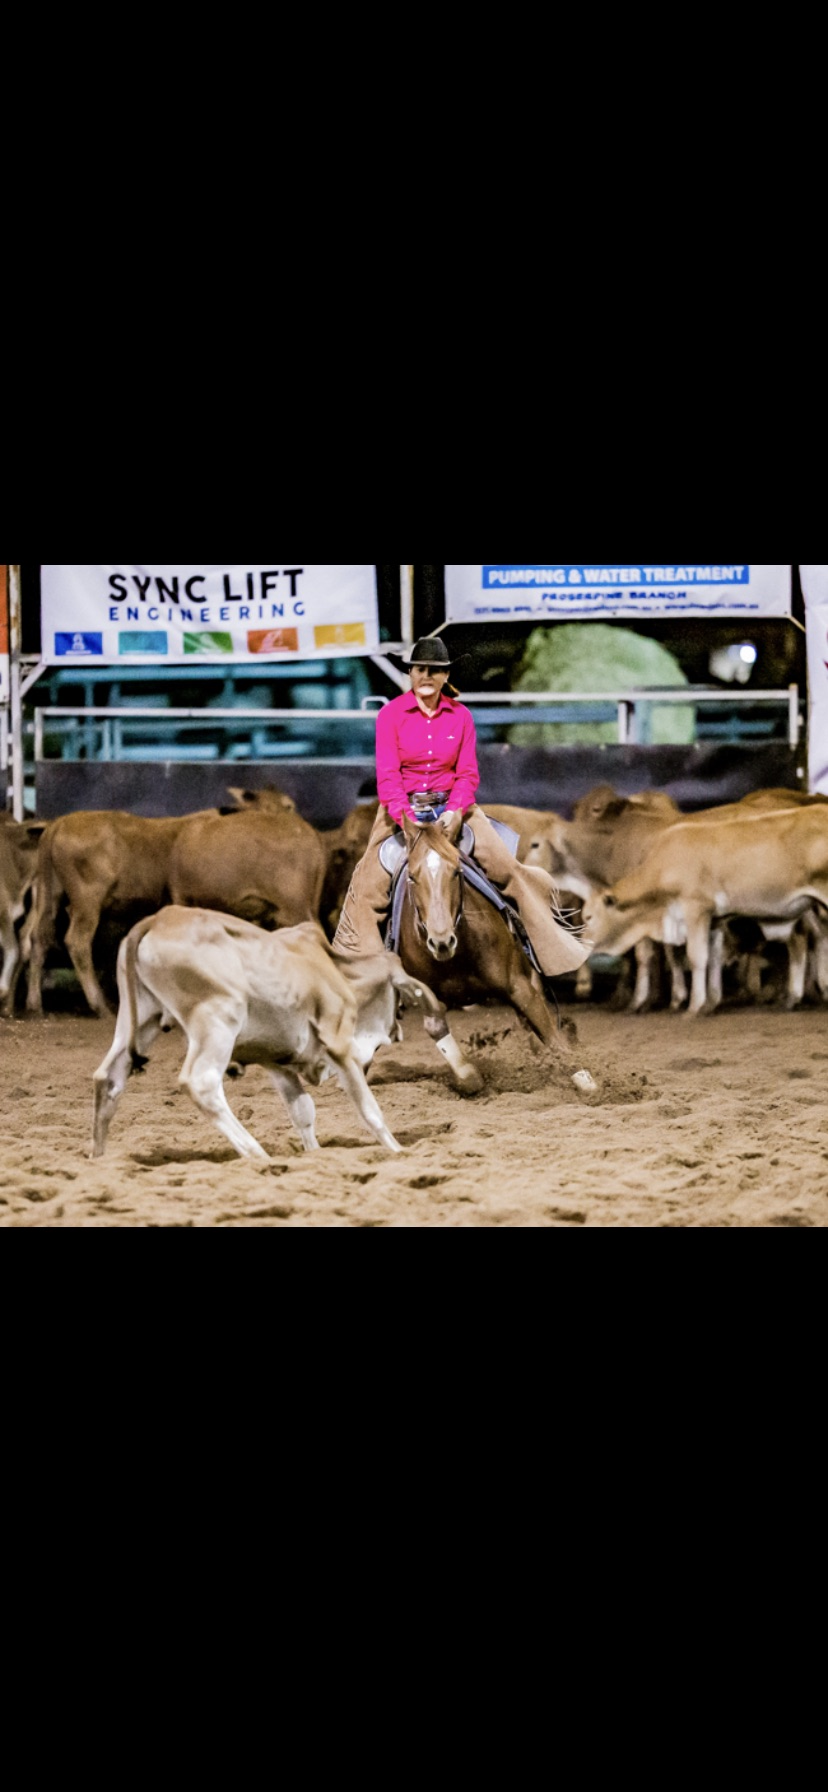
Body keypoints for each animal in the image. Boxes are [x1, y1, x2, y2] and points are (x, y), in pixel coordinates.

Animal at [91, 908, 445, 1162]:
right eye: (399, 1003)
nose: (397, 1032)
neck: (335, 971)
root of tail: (158, 919)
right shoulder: (339, 1043)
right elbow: (370, 1110)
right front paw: (398, 1150)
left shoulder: (278, 1064)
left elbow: (303, 1112)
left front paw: (316, 1154)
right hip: (219, 1019)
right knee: (202, 1082)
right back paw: (256, 1153)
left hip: (141, 1020)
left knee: (108, 1077)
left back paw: (98, 1159)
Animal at [391, 812, 596, 1095]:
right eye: (411, 876)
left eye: (456, 872)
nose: (441, 941)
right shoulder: (428, 998)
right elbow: (438, 1031)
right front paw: (470, 1076)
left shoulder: (518, 987)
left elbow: (551, 1036)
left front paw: (587, 1081)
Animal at [582, 804, 828, 1016]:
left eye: (588, 917)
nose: (582, 944)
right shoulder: (715, 919)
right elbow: (713, 957)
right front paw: (710, 1003)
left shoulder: (696, 909)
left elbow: (696, 956)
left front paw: (693, 1007)